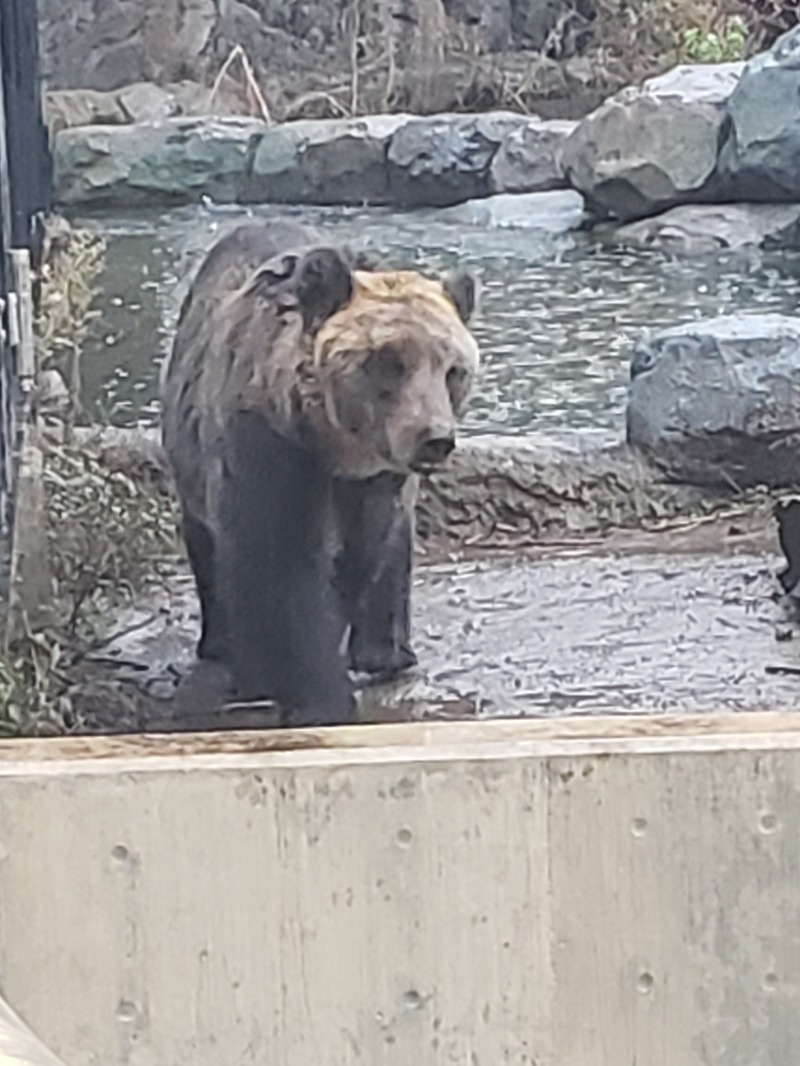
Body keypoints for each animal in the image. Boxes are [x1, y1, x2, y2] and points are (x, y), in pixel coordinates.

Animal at [160, 220, 480, 729]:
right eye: (387, 361)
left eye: (454, 370)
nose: (434, 438)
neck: (336, 445)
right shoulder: (269, 446)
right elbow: (280, 565)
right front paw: (314, 694)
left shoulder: (376, 482)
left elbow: (362, 554)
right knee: (205, 545)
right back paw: (221, 645)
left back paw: (388, 653)